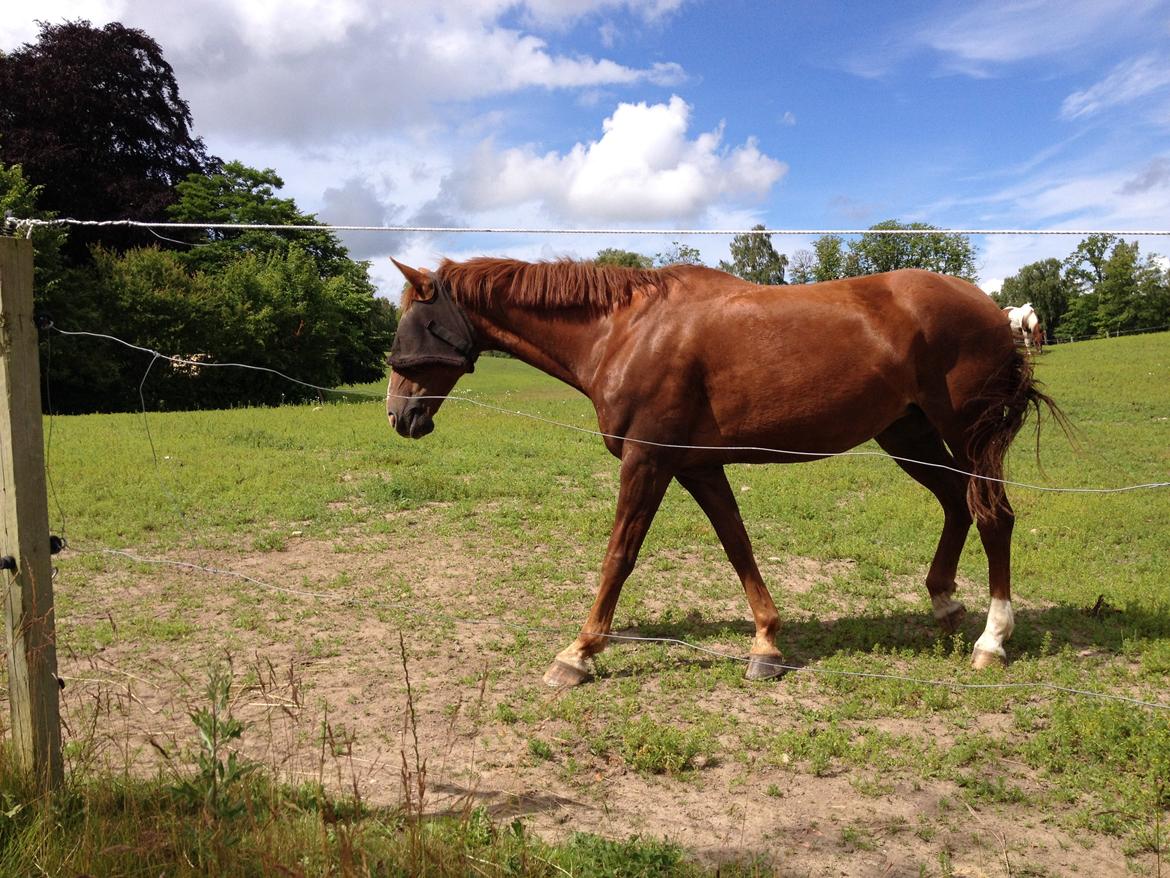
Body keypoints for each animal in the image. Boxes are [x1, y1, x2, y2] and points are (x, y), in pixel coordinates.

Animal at [388, 257, 1057, 693]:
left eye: (416, 325)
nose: (400, 414)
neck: (626, 330)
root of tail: (995, 312)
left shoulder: (649, 460)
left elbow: (620, 555)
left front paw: (579, 652)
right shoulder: (698, 466)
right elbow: (738, 545)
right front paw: (766, 643)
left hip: (967, 436)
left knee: (994, 515)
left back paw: (992, 640)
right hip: (907, 435)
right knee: (957, 504)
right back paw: (944, 602)